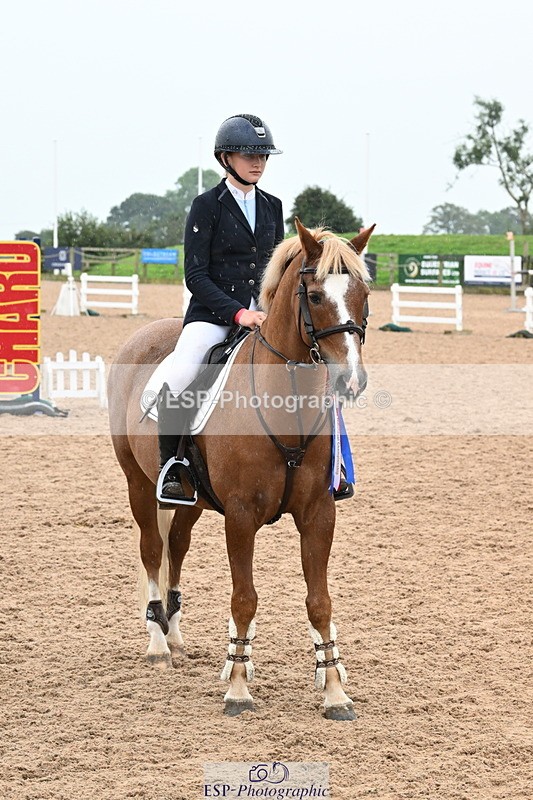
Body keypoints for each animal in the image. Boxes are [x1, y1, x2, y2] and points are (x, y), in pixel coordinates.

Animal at [108, 218, 373, 720]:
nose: (351, 381)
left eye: (363, 293)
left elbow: (320, 602)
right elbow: (244, 598)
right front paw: (237, 687)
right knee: (152, 551)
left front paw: (334, 690)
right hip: (139, 484)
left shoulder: (318, 514)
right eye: (314, 296)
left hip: (190, 501)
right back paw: (157, 643)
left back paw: (175, 637)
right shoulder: (241, 515)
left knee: (177, 547)